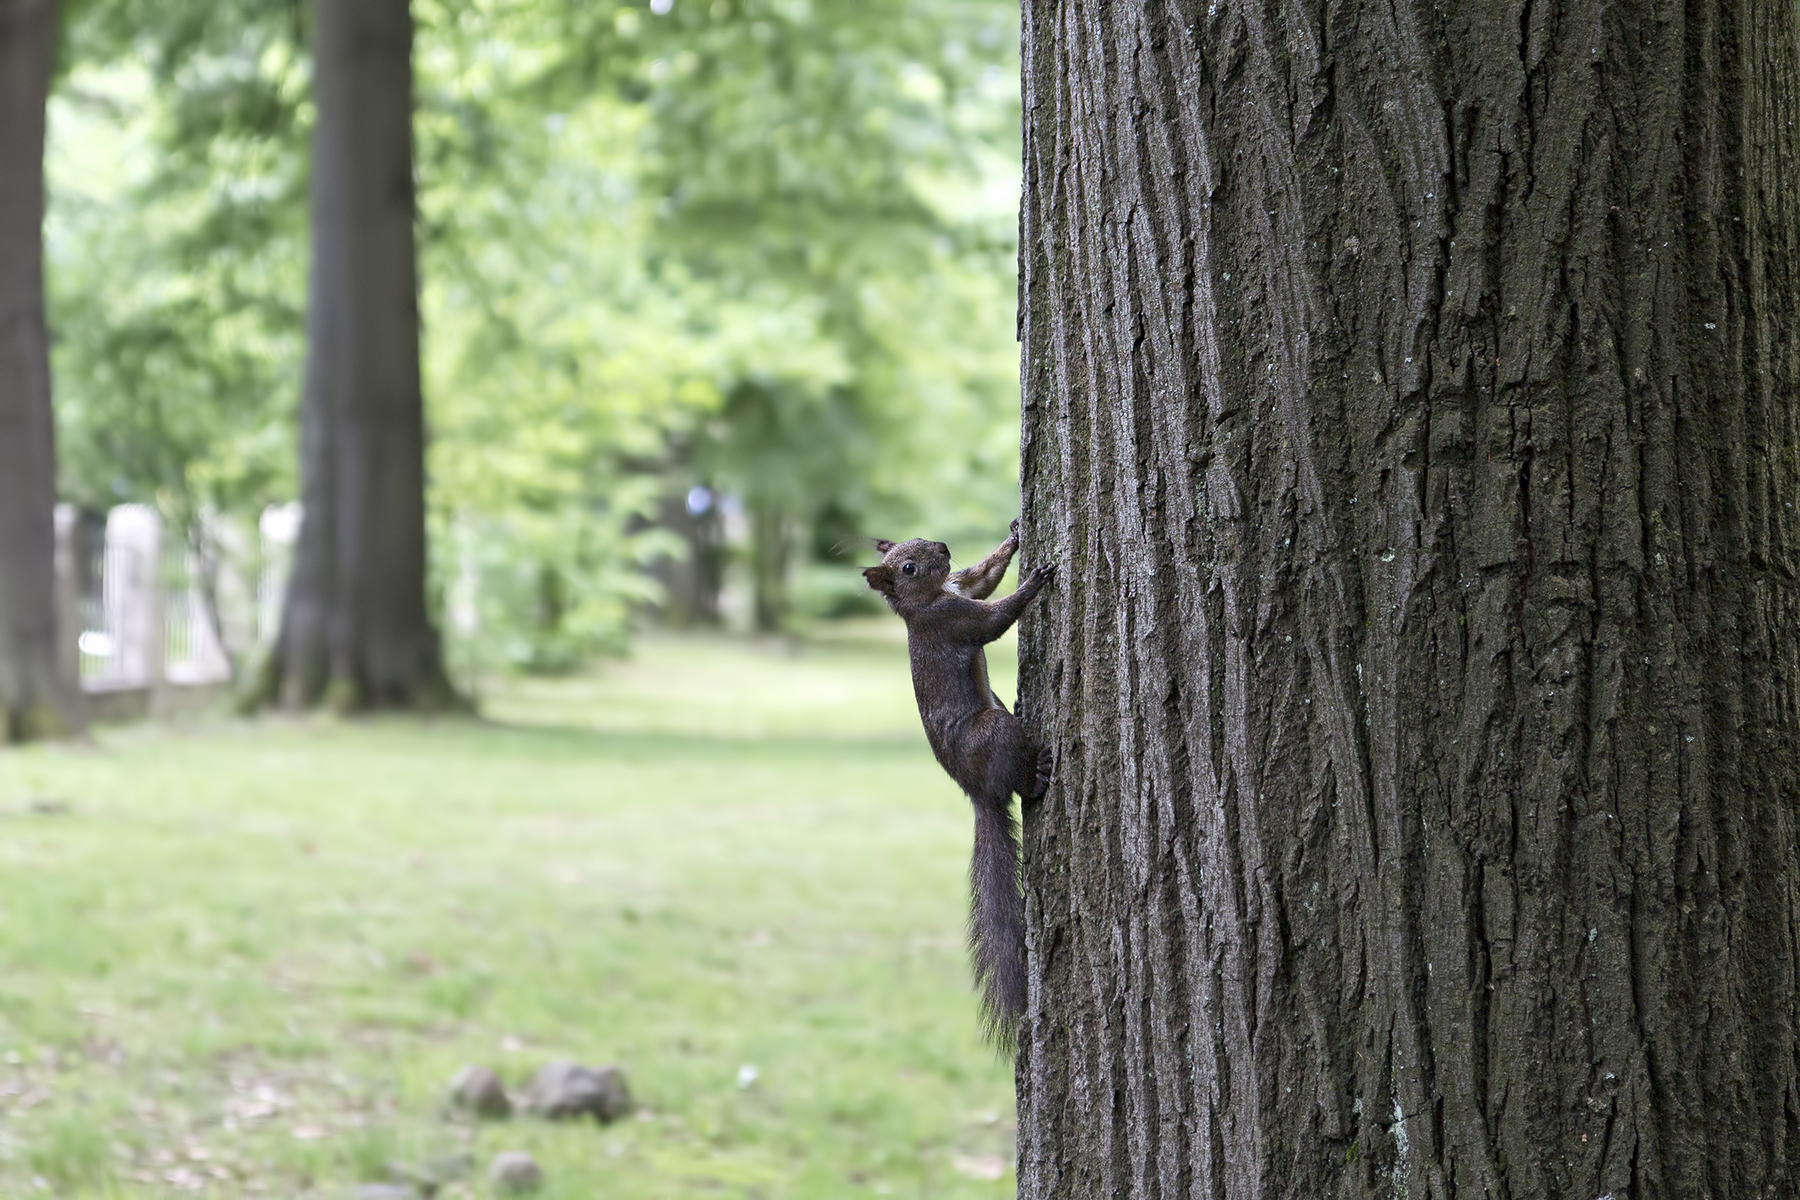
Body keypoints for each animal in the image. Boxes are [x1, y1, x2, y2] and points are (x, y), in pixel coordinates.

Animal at [863, 520, 1055, 1046]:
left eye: (917, 540)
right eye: (908, 567)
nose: (944, 547)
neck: (928, 599)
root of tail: (977, 791)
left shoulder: (960, 588)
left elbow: (984, 577)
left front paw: (1014, 539)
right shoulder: (952, 618)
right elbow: (993, 619)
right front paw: (1034, 583)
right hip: (995, 731)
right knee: (1020, 779)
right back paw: (1038, 776)